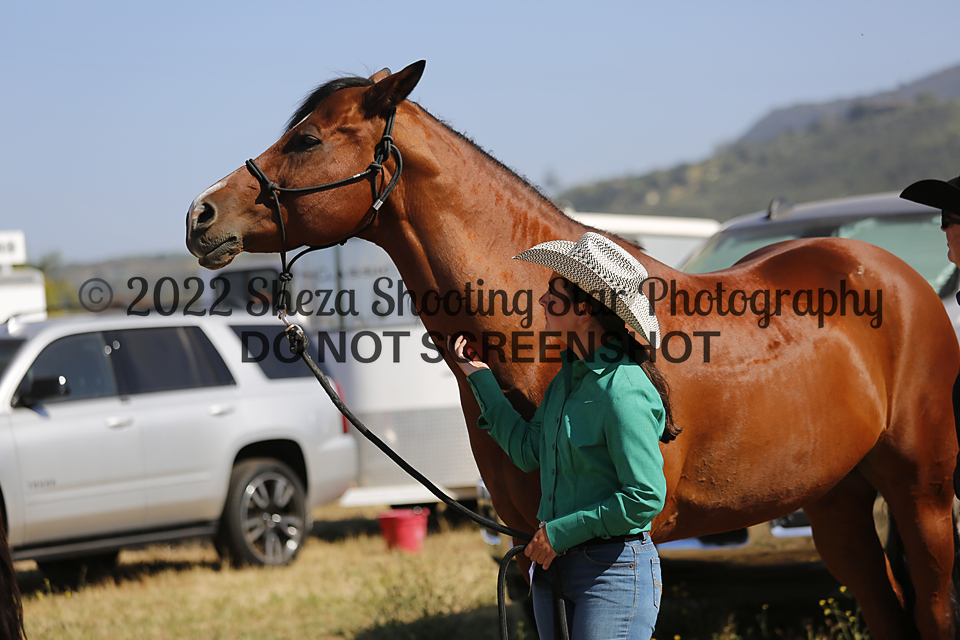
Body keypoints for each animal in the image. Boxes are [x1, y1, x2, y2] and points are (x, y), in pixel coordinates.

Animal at [185, 61, 959, 639]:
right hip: (837, 501)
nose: (200, 214)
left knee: (933, 608)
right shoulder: (533, 547)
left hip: (921, 493)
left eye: (309, 140)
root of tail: (896, 276)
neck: (554, 335)